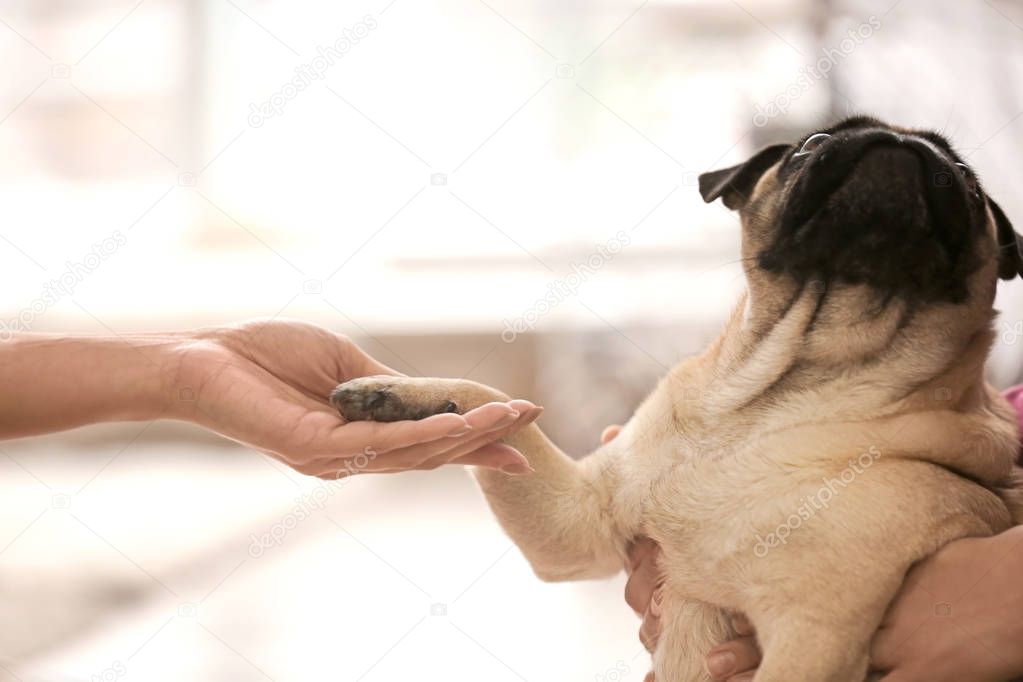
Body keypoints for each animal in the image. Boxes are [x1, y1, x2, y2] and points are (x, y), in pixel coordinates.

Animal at [329, 114, 1023, 678]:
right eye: (811, 145)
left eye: (966, 181)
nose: (899, 144)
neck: (772, 400)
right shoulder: (572, 524)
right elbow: (499, 406)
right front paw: (402, 396)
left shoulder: (812, 637)